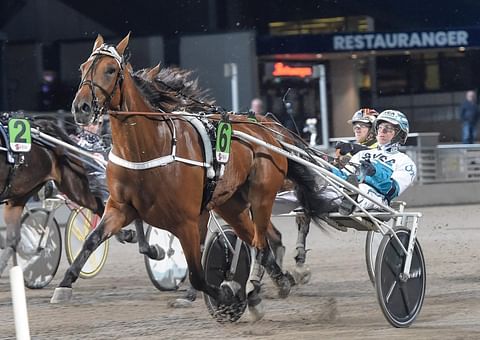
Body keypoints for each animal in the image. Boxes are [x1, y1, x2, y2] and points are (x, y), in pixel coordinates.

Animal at [52, 33, 330, 318]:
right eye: (83, 67)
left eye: (110, 70)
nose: (81, 107)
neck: (150, 147)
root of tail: (269, 132)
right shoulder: (120, 208)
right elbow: (92, 240)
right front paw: (64, 284)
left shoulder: (187, 220)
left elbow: (197, 272)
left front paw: (224, 294)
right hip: (231, 205)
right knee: (261, 242)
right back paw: (276, 282)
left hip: (261, 197)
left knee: (263, 241)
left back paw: (265, 283)